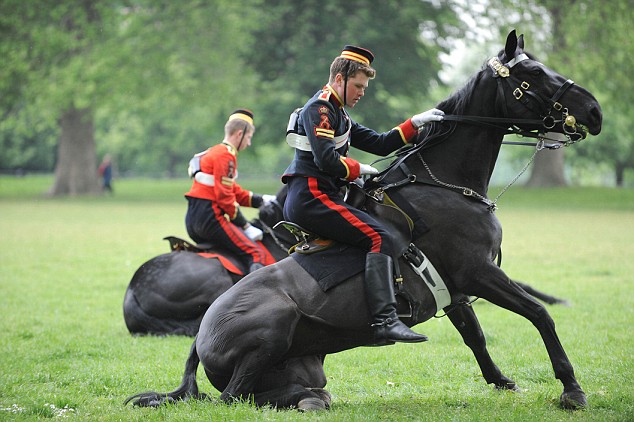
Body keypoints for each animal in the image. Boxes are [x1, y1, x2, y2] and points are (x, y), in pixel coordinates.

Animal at [126, 31, 600, 410]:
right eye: (534, 73)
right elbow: (539, 313)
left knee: (286, 394)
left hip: (306, 368)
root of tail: (199, 338)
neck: (445, 184)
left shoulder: (459, 289)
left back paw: (311, 401)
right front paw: (571, 389)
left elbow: (477, 336)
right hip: (273, 327)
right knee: (228, 399)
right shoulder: (479, 273)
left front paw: (502, 381)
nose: (594, 111)